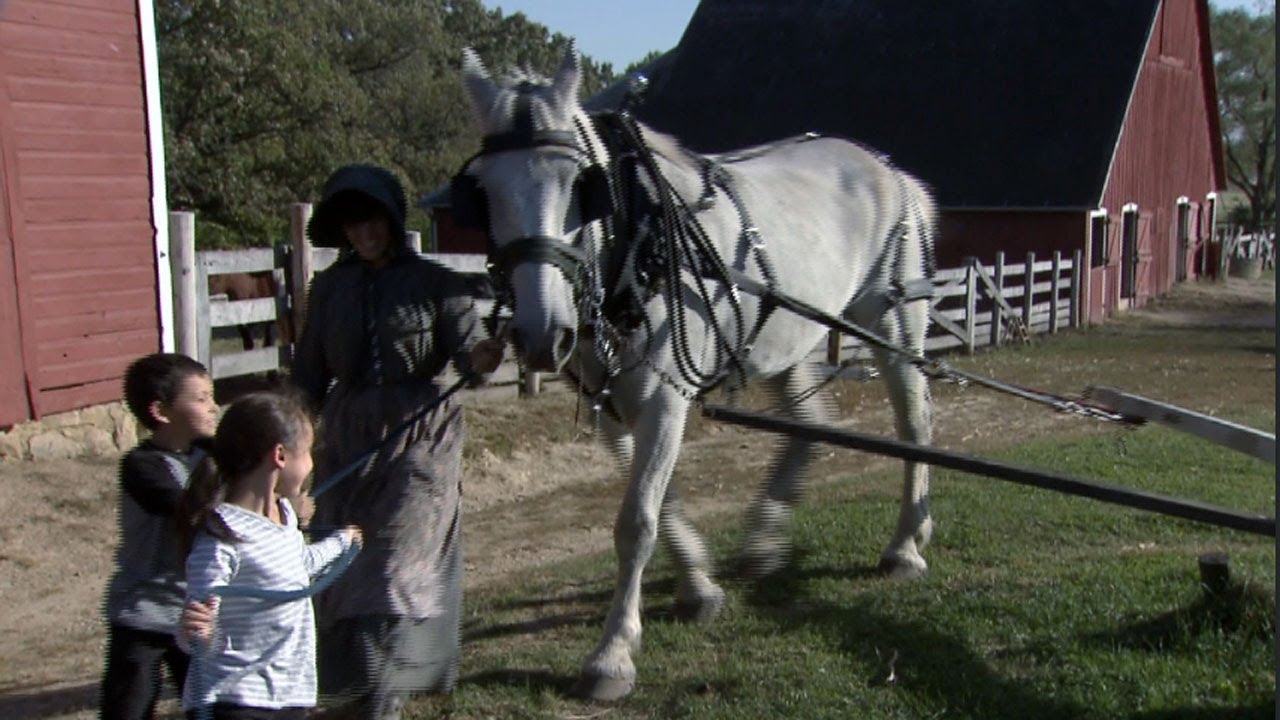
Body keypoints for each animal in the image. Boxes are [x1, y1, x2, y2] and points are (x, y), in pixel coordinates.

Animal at [460, 43, 942, 696]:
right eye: (485, 190)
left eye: (578, 183)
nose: (541, 334)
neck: (636, 243)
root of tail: (890, 170)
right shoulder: (613, 403)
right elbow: (660, 504)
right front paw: (699, 588)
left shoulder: (666, 397)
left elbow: (636, 521)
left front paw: (612, 654)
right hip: (783, 340)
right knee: (809, 424)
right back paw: (765, 539)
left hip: (893, 327)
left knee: (915, 424)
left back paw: (906, 545)